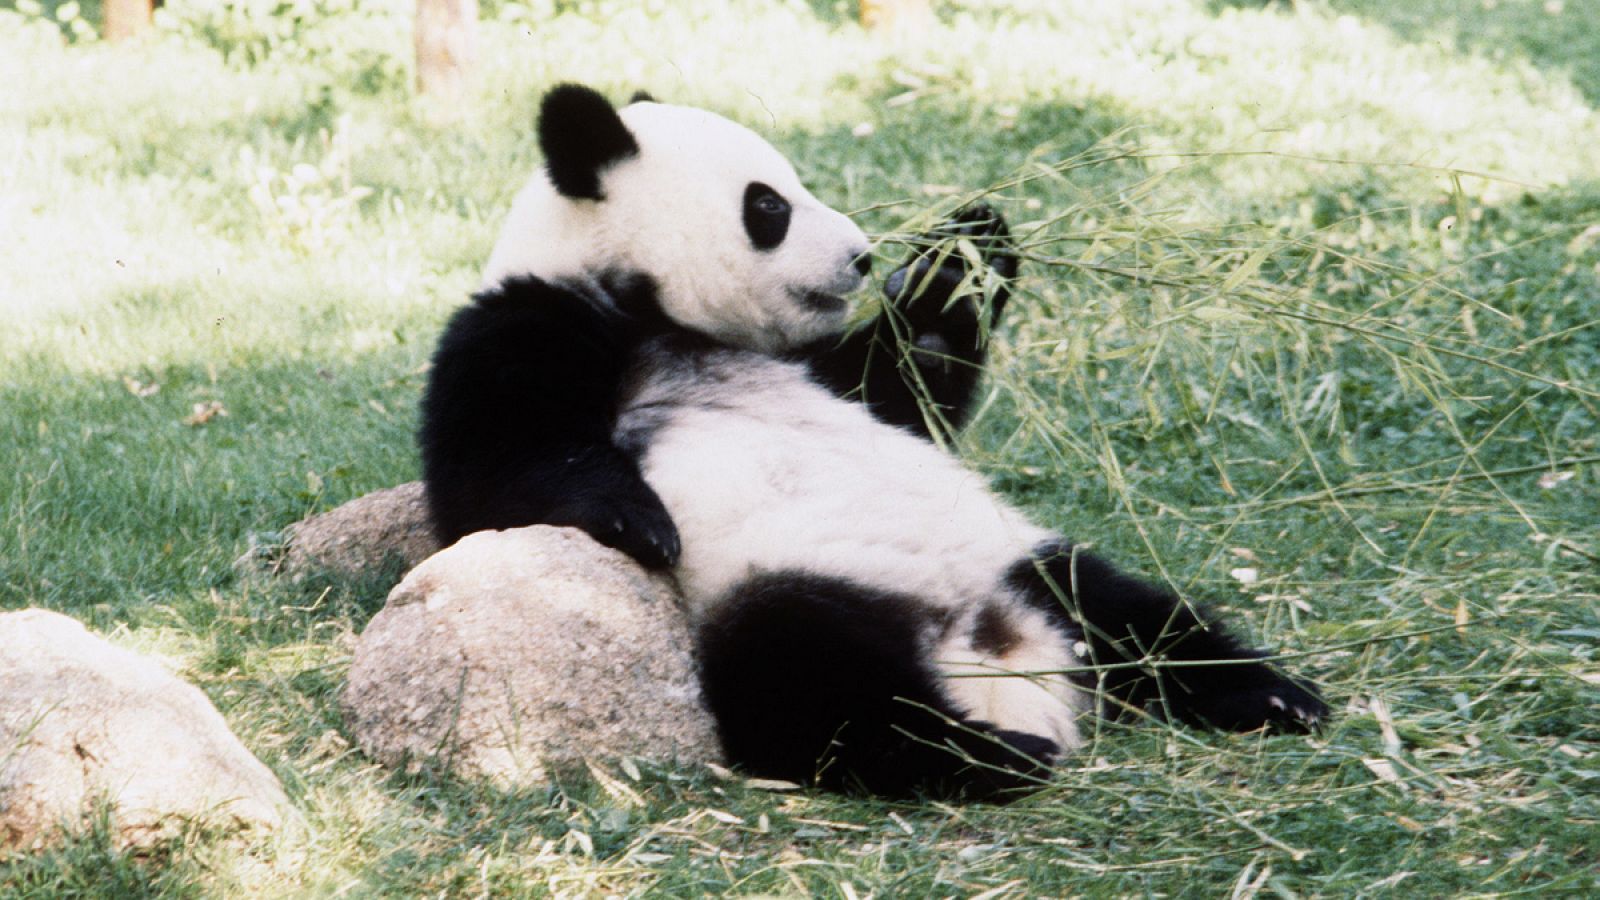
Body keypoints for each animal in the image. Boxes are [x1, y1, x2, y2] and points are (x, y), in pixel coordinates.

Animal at [419, 85, 1331, 797]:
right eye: (768, 206)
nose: (861, 257)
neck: (666, 322)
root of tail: (992, 651)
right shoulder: (531, 318)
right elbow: (489, 470)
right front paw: (632, 516)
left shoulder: (822, 369)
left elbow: (905, 386)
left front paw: (961, 258)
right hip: (779, 587)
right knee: (820, 685)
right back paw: (995, 754)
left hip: (1017, 559)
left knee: (1133, 614)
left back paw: (1270, 695)